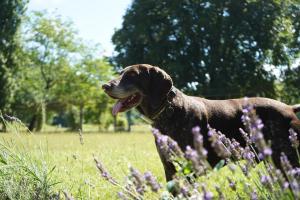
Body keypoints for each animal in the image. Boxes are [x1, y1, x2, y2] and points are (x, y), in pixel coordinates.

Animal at [102, 64, 298, 181]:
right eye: (121, 74)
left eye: (131, 76)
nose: (105, 86)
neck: (168, 112)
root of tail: (290, 108)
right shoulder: (170, 168)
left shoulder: (191, 168)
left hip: (288, 159)